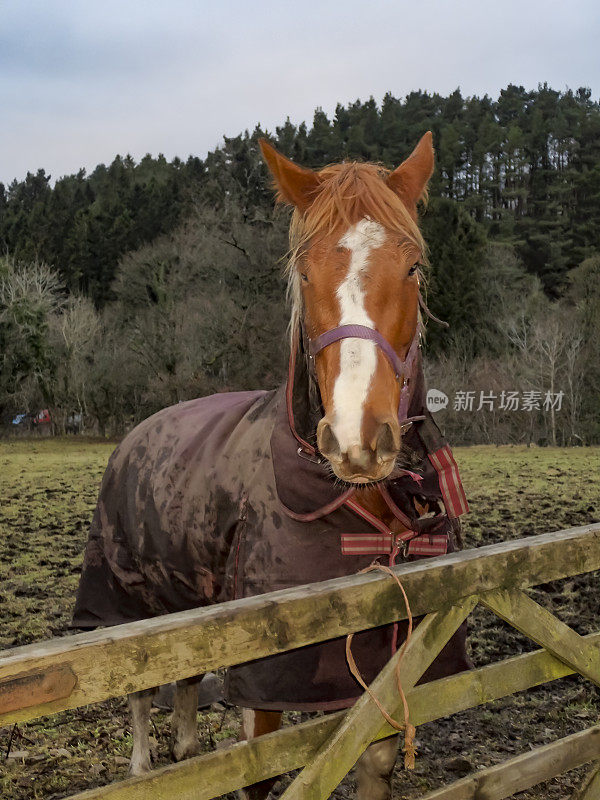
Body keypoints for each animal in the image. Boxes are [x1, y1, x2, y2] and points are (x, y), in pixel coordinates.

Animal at [72, 133, 472, 800]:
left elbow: (373, 759)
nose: (357, 438)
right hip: (131, 602)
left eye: (412, 266)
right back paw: (144, 769)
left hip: (194, 602)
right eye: (304, 273)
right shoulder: (265, 664)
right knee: (141, 696)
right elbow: (258, 770)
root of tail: (138, 431)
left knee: (184, 693)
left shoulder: (379, 656)